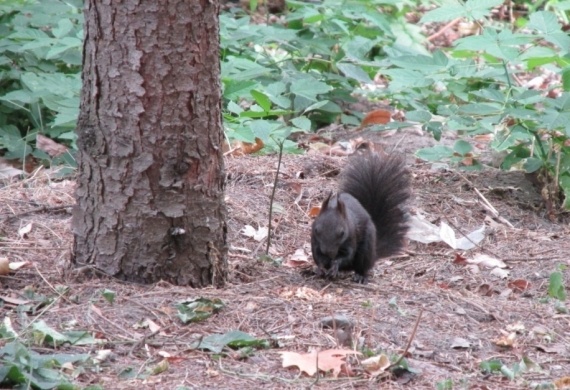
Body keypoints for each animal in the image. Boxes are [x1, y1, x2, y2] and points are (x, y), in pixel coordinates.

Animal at [310, 152, 408, 284]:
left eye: (342, 232)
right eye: (317, 230)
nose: (328, 252)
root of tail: (374, 253)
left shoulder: (351, 237)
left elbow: (347, 256)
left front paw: (335, 265)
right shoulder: (315, 241)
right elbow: (317, 256)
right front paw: (321, 267)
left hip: (366, 250)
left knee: (361, 267)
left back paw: (360, 276)